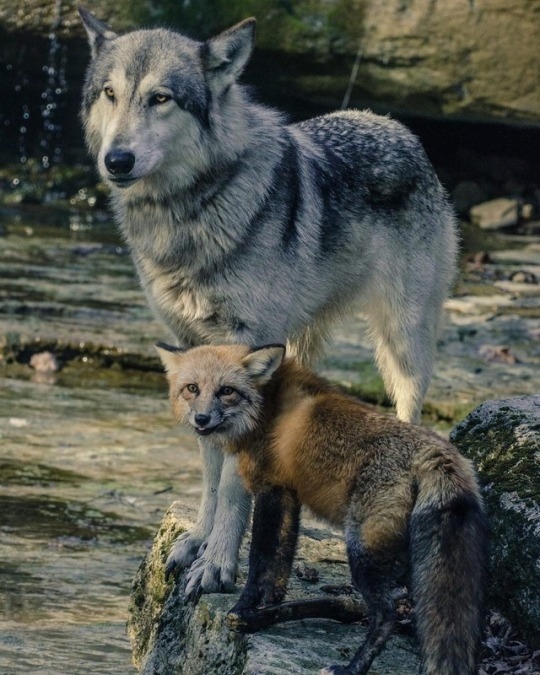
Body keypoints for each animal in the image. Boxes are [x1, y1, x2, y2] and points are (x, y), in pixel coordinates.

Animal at [80, 5, 458, 596]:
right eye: (110, 94)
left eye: (161, 98)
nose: (116, 159)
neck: (192, 210)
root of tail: (395, 125)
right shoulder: (194, 360)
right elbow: (212, 473)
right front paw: (198, 541)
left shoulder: (244, 357)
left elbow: (234, 482)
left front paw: (217, 564)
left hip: (403, 345)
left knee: (408, 413)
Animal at [157, 344, 490, 675]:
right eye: (192, 388)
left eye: (227, 391)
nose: (201, 419)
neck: (267, 408)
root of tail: (439, 452)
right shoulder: (288, 494)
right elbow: (278, 570)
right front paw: (261, 615)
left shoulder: (270, 489)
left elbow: (259, 565)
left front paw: (242, 609)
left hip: (361, 549)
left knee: (387, 616)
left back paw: (352, 667)